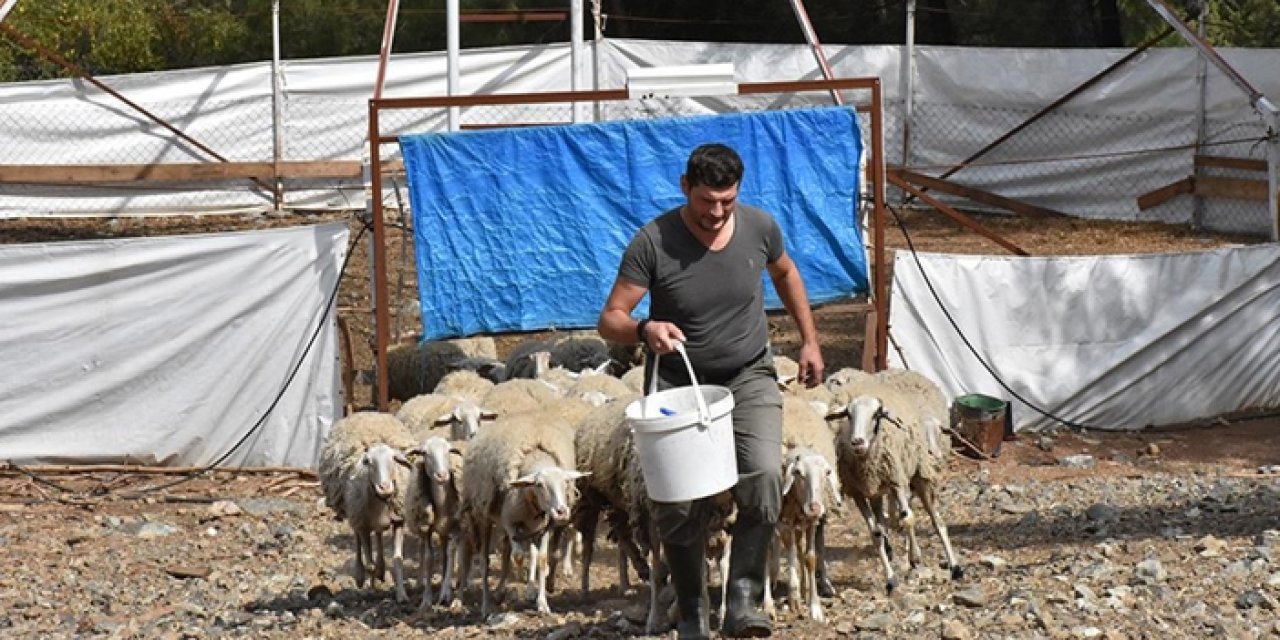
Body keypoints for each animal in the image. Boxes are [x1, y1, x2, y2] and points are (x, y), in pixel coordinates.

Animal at [318, 412, 414, 601]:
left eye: (393, 459)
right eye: (368, 462)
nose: (385, 487)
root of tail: (365, 412)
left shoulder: (398, 520)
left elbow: (398, 560)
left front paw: (402, 595)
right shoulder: (362, 523)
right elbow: (369, 563)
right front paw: (372, 588)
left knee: (377, 533)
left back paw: (381, 569)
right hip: (353, 513)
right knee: (358, 541)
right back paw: (361, 576)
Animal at [455, 409, 586, 614]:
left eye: (565, 482)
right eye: (539, 484)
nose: (562, 512)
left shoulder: (543, 527)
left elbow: (541, 559)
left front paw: (542, 603)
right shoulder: (509, 523)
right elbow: (518, 556)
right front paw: (522, 584)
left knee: (508, 551)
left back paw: (502, 591)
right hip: (485, 516)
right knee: (485, 561)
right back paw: (487, 604)